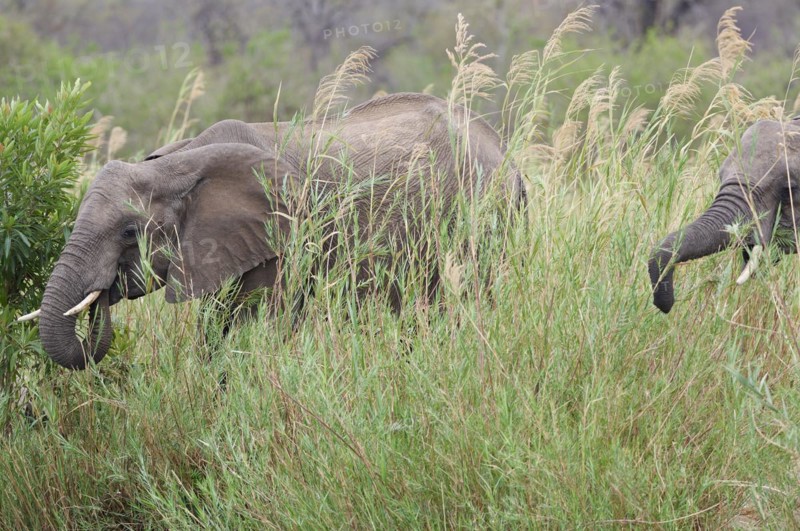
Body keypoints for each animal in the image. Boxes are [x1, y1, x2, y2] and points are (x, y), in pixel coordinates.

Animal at [18, 92, 524, 369]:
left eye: (128, 231)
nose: (102, 298)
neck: (179, 162)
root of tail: (502, 149)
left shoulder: (280, 238)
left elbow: (258, 326)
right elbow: (215, 326)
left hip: (483, 212)